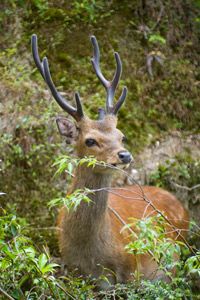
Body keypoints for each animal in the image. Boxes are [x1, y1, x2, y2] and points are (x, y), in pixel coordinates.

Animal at [31, 34, 189, 290]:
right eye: (90, 140)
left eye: (121, 135)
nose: (124, 155)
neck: (91, 254)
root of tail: (183, 206)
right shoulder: (72, 269)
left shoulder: (129, 273)